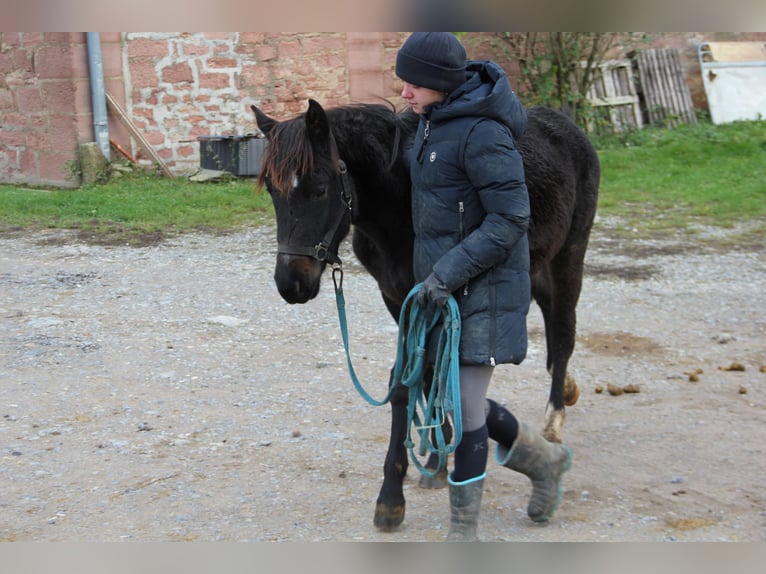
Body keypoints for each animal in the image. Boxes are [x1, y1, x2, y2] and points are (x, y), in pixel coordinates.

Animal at [252, 98, 600, 532]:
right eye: (272, 191)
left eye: (319, 189)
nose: (291, 284)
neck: (402, 201)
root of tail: (568, 127)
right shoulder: (399, 300)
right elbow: (425, 376)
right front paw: (435, 458)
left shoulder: (432, 295)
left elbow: (418, 380)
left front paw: (391, 498)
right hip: (535, 266)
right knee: (552, 328)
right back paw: (565, 391)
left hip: (569, 256)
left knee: (564, 331)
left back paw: (554, 421)